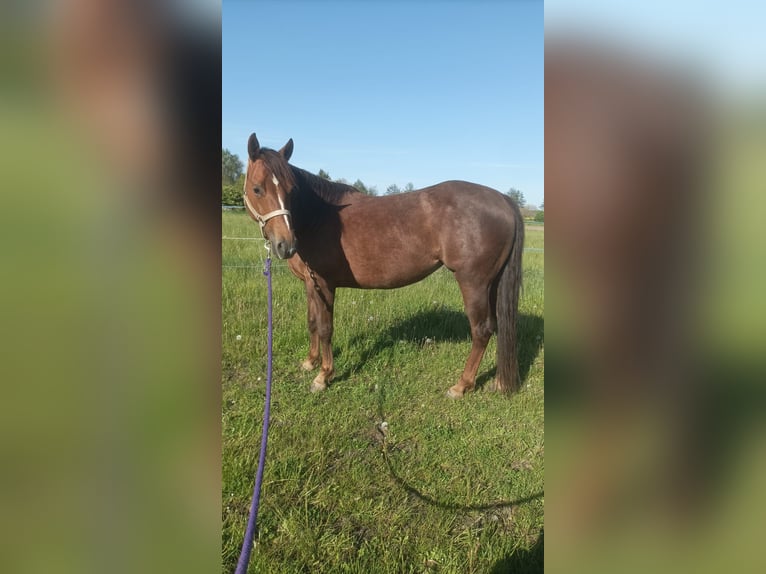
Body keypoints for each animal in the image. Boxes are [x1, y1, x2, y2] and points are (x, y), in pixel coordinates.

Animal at [242, 133, 524, 397]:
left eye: (291, 191)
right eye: (257, 189)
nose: (286, 245)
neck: (317, 217)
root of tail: (503, 199)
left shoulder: (325, 284)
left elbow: (325, 328)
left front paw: (323, 376)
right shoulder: (311, 284)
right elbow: (312, 322)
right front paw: (310, 362)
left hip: (473, 282)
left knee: (481, 330)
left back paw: (461, 385)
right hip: (492, 283)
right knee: (495, 326)